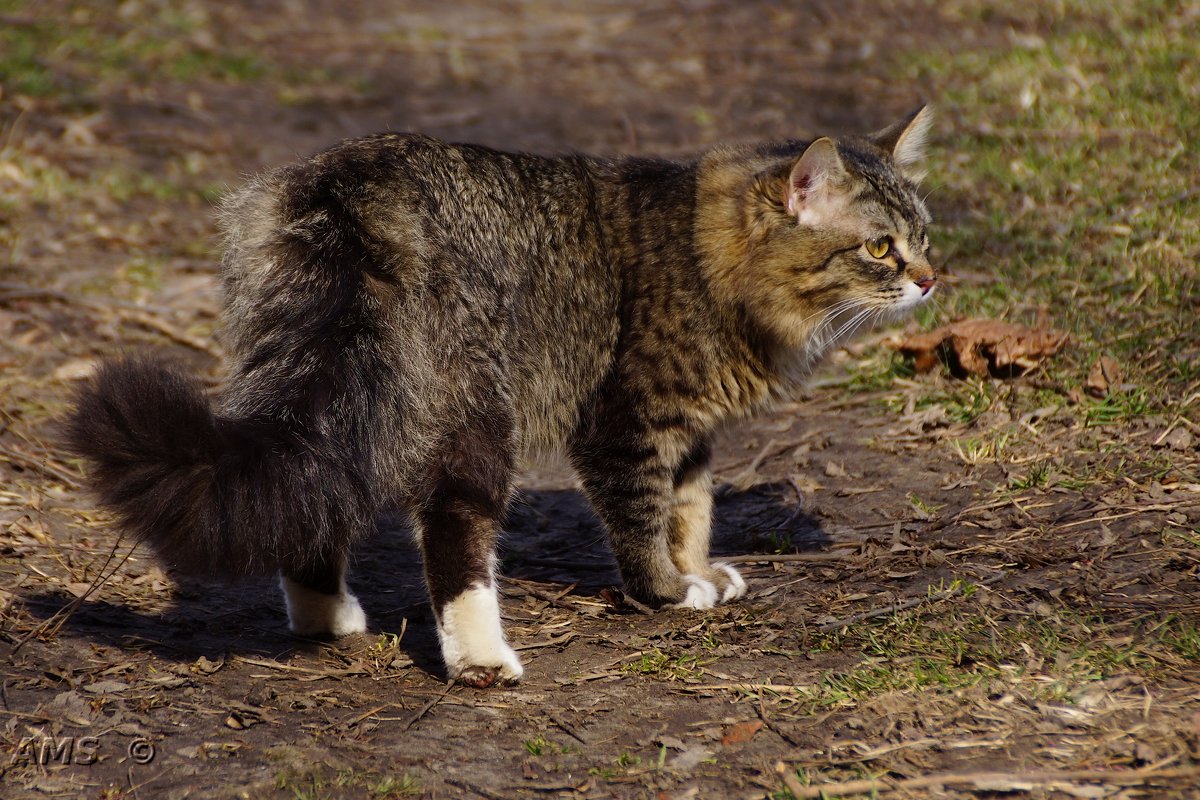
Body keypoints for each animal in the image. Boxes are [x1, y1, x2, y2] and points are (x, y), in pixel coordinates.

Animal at [68, 106, 936, 690]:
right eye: (879, 247)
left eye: (925, 237)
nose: (932, 279)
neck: (704, 253)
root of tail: (354, 188)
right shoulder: (627, 420)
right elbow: (646, 517)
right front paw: (665, 591)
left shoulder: (689, 432)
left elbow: (692, 508)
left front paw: (697, 571)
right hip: (476, 408)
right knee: (455, 533)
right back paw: (481, 660)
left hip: (342, 390)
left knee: (319, 490)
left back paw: (326, 622)